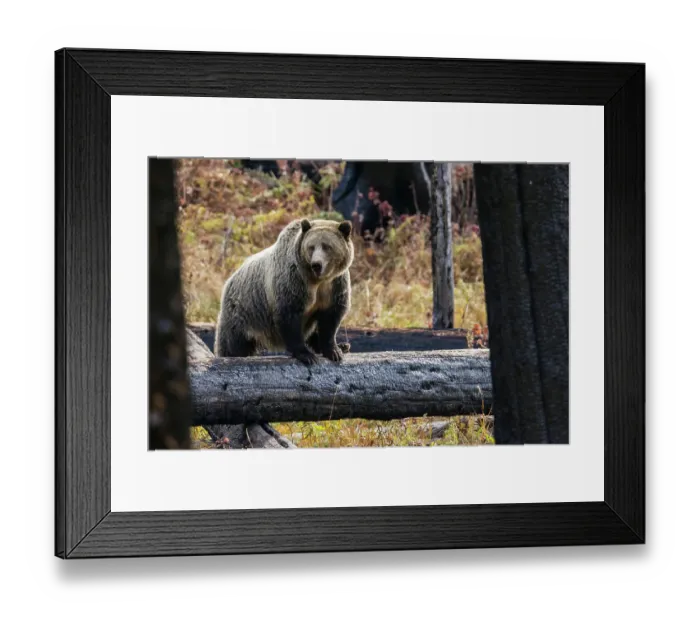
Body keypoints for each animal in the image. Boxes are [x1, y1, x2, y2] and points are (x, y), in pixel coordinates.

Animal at [214, 218, 354, 365]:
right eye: (311, 247)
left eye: (327, 246)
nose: (316, 264)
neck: (317, 280)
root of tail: (229, 279)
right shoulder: (294, 281)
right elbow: (290, 316)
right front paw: (306, 355)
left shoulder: (334, 286)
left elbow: (330, 319)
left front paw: (334, 351)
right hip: (244, 312)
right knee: (234, 343)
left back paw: (343, 346)